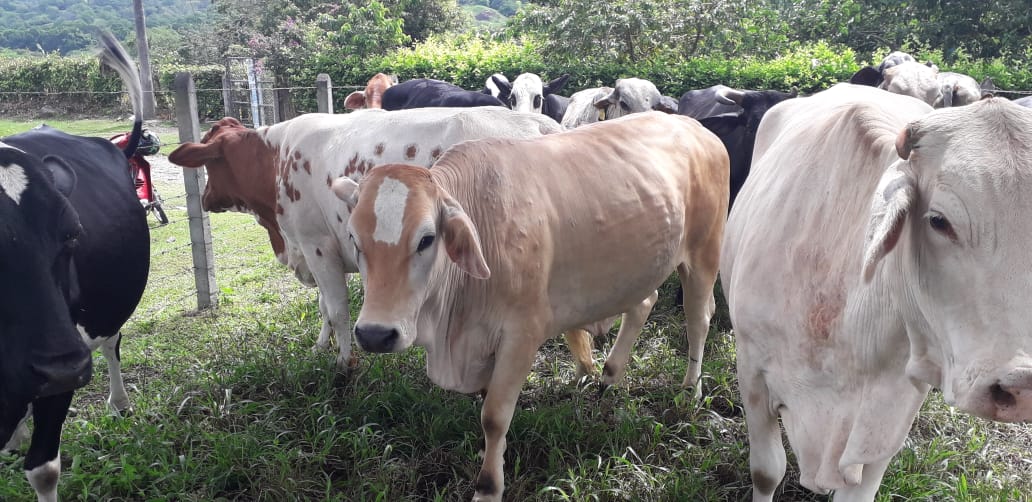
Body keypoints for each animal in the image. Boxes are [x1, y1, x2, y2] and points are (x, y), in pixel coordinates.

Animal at [168, 107, 599, 373]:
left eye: (208, 164)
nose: (204, 198)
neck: (276, 158)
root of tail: (539, 123)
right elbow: (324, 307)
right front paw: (320, 346)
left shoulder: (317, 244)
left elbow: (338, 308)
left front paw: (344, 363)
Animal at [331, 111, 729, 500]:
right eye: (354, 239)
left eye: (426, 239)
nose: (375, 334)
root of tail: (698, 128)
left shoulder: (521, 336)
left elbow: (493, 416)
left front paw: (488, 487)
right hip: (638, 269)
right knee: (645, 302)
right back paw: (610, 376)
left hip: (703, 256)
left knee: (698, 320)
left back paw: (690, 391)